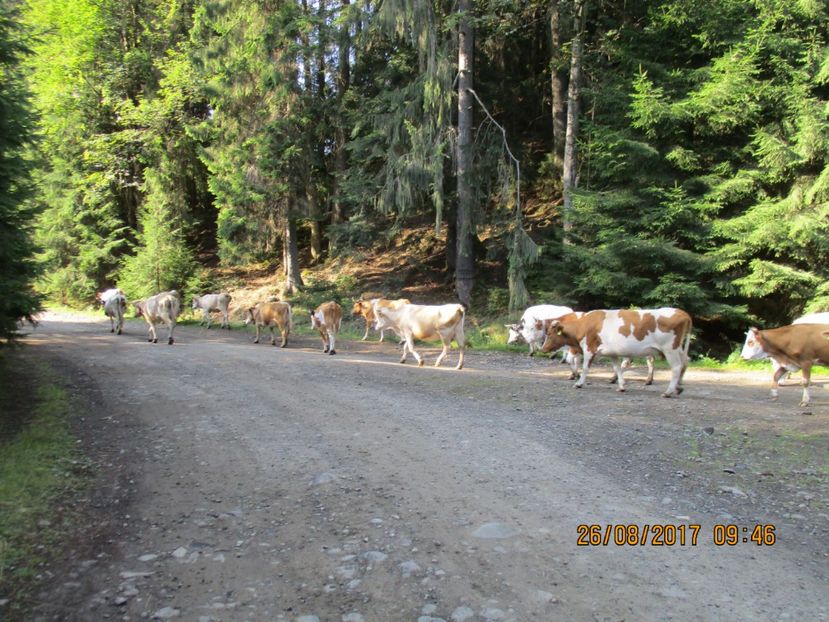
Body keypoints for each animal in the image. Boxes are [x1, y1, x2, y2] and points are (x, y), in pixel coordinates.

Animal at [536, 308, 692, 400]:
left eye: (549, 334)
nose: (543, 349)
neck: (584, 325)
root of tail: (682, 313)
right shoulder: (613, 353)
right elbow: (617, 368)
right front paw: (621, 386)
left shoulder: (589, 348)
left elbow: (585, 368)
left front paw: (579, 383)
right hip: (678, 349)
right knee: (685, 363)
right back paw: (678, 388)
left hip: (670, 348)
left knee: (676, 367)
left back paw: (668, 392)